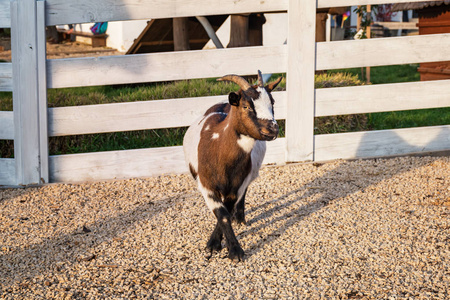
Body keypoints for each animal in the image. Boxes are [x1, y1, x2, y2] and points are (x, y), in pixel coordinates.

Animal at [183, 71, 282, 262]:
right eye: (245, 106)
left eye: (272, 103)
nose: (272, 130)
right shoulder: (206, 186)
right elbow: (222, 215)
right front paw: (218, 247)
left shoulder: (236, 185)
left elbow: (227, 211)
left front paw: (229, 247)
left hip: (249, 175)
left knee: (245, 191)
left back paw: (240, 217)